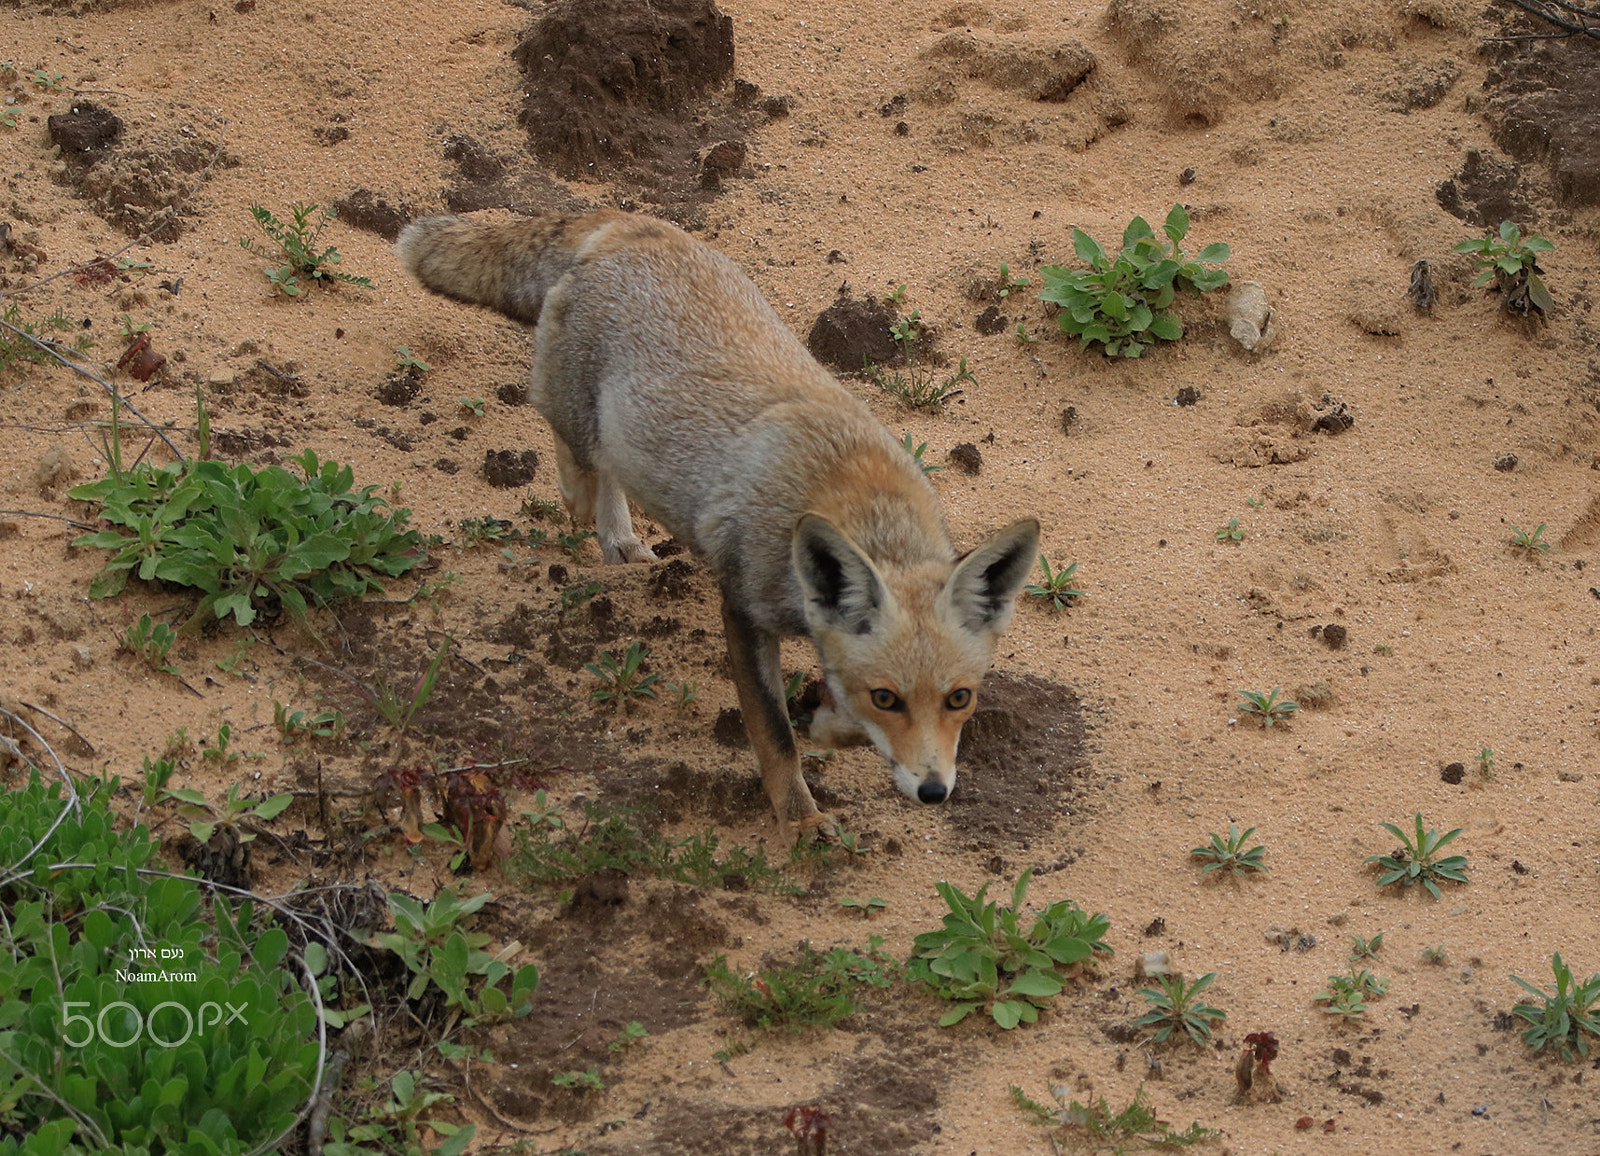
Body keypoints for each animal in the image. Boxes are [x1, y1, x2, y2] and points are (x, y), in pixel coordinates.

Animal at [397, 210, 1040, 843]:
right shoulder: (744, 611)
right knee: (579, 455)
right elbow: (776, 738)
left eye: (960, 698)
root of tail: (629, 223)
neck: (857, 499)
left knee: (606, 467)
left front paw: (829, 726)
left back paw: (619, 537)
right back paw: (588, 505)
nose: (934, 793)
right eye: (888, 697)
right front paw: (799, 821)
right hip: (577, 413)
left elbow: (833, 713)